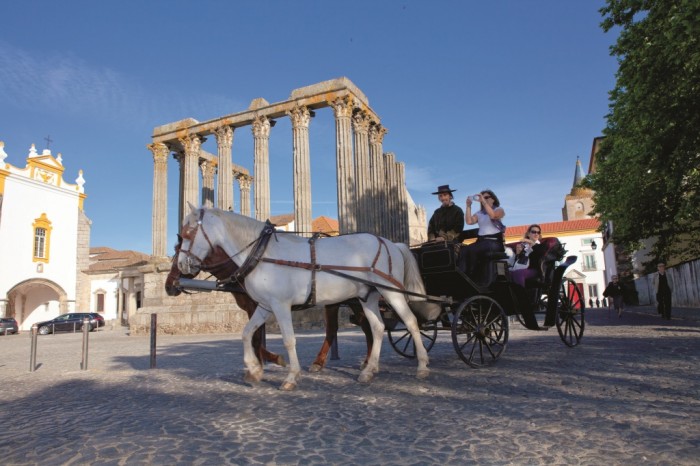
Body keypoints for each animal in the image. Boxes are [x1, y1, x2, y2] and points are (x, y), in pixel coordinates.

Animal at [178, 206, 430, 392]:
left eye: (186, 234)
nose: (181, 266)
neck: (262, 254)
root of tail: (391, 243)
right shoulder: (265, 306)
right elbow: (247, 333)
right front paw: (254, 369)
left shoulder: (280, 306)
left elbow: (289, 340)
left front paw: (291, 376)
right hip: (367, 296)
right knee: (377, 328)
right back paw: (369, 371)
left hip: (392, 292)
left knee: (410, 322)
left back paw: (422, 366)